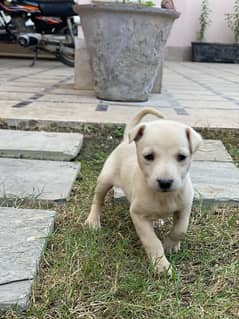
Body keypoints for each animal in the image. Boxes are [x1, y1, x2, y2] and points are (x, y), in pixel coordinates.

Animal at [85, 108, 201, 276]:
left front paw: (171, 245)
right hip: (104, 180)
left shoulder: (185, 207)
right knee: (98, 200)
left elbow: (180, 230)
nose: (165, 182)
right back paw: (93, 220)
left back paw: (158, 221)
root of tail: (124, 142)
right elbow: (152, 240)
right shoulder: (138, 215)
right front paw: (161, 265)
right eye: (149, 156)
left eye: (182, 157)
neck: (163, 196)